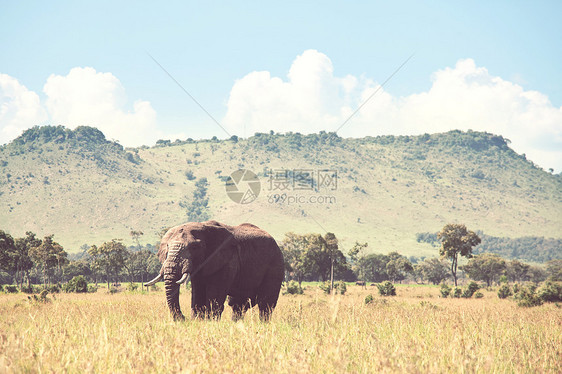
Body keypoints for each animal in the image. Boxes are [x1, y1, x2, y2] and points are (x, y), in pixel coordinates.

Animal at [145, 219, 284, 322]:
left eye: (194, 247)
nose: (183, 318)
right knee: (238, 304)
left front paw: (210, 322)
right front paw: (198, 321)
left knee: (265, 304)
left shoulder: (228, 261)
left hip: (275, 265)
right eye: (167, 247)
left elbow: (215, 295)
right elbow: (198, 293)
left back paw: (263, 324)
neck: (204, 227)